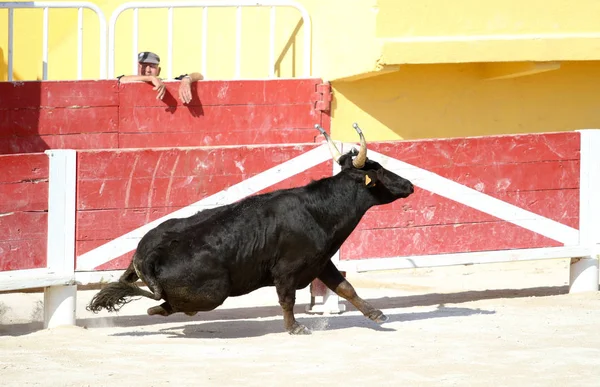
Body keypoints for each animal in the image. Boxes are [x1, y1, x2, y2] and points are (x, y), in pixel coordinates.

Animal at [89, 123, 414, 334]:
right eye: (379, 171)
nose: (409, 185)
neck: (318, 210)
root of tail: (149, 255)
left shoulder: (321, 262)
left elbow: (345, 287)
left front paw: (377, 314)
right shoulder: (287, 271)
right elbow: (287, 299)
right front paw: (295, 328)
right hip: (215, 292)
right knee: (167, 304)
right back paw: (158, 310)